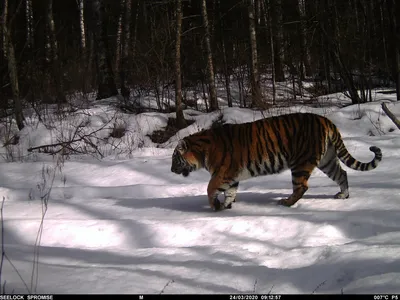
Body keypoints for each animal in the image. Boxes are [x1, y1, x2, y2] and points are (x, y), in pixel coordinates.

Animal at [170, 112, 382, 211]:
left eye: (175, 159)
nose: (171, 170)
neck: (201, 150)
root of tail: (325, 120)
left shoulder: (222, 172)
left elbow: (209, 188)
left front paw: (214, 206)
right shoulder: (232, 176)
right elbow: (230, 192)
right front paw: (224, 206)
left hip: (301, 162)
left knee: (301, 187)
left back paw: (286, 202)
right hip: (327, 160)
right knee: (342, 173)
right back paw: (343, 195)